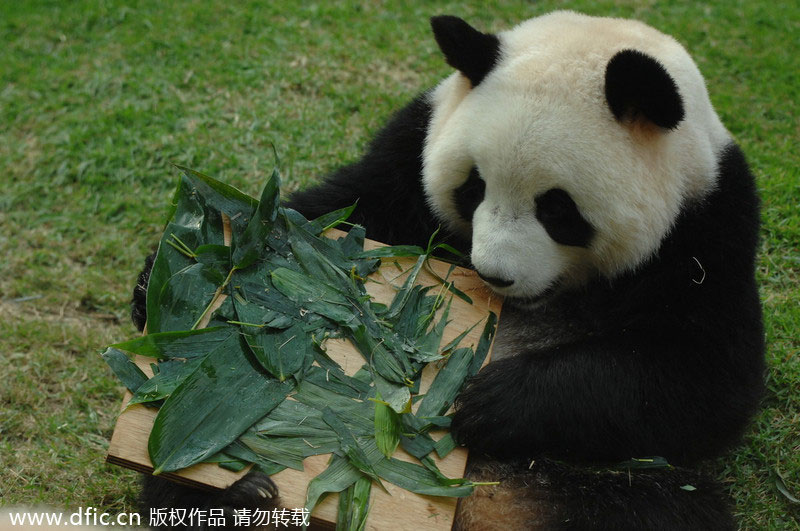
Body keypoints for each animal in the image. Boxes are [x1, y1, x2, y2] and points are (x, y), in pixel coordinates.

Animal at [132, 11, 765, 530]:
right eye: (474, 187)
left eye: (558, 210)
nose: (495, 276)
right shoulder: (408, 155)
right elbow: (339, 207)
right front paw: (165, 275)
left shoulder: (708, 228)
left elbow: (703, 377)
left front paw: (489, 402)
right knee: (168, 487)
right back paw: (241, 496)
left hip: (606, 483)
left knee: (651, 507)